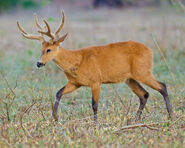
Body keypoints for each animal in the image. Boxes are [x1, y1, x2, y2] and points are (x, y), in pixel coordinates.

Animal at [17, 9, 173, 122]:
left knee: (162, 86)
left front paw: (95, 123)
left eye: (49, 49)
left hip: (143, 71)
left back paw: (170, 116)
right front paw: (55, 118)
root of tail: (150, 51)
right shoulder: (75, 83)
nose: (39, 63)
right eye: (41, 49)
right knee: (144, 94)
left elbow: (94, 104)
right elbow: (58, 93)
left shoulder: (96, 81)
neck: (77, 61)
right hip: (130, 78)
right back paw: (136, 119)